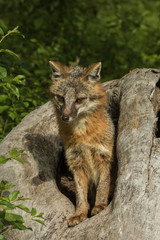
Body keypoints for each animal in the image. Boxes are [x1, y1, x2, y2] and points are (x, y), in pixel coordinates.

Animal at [49, 61, 114, 226]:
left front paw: (100, 205)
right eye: (61, 98)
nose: (65, 117)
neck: (83, 135)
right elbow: (80, 194)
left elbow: (103, 185)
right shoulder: (76, 163)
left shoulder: (104, 157)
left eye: (79, 100)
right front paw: (80, 213)